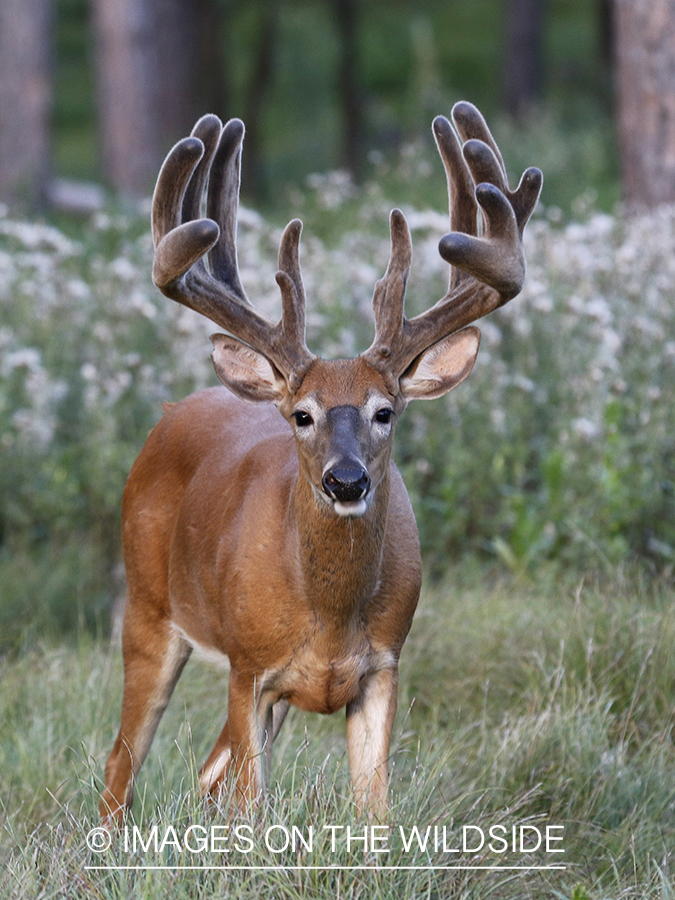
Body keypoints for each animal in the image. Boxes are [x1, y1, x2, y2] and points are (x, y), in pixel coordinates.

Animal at [100, 102, 544, 828]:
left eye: (384, 411)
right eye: (302, 415)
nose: (345, 480)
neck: (330, 618)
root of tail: (171, 410)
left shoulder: (383, 667)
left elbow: (374, 809)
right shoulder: (248, 667)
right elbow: (252, 806)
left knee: (204, 773)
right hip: (148, 606)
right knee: (122, 762)